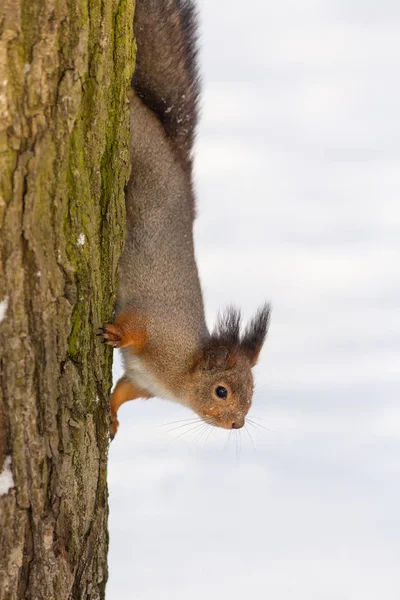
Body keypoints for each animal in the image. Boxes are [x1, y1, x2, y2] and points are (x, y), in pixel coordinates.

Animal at [98, 1, 270, 440]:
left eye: (252, 393)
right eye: (222, 391)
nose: (236, 423)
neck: (178, 374)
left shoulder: (140, 382)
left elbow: (121, 391)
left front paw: (112, 417)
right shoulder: (157, 325)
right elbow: (134, 325)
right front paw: (116, 333)